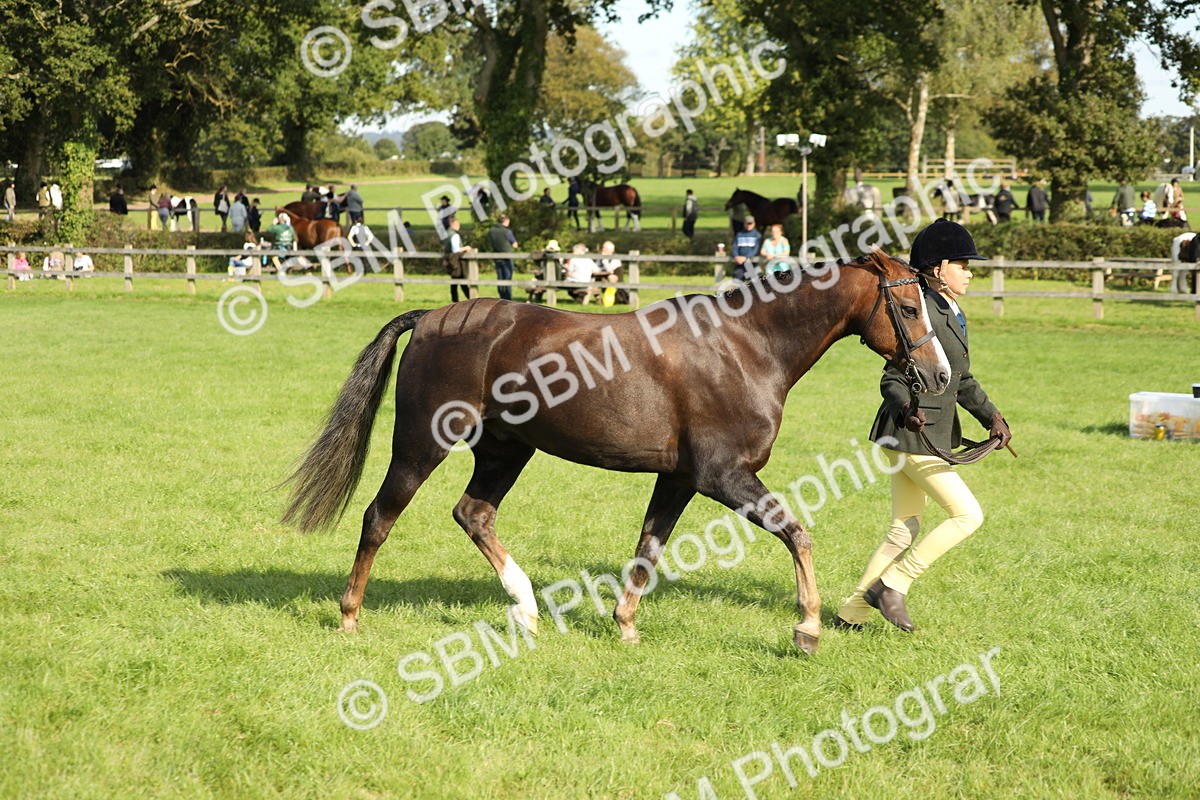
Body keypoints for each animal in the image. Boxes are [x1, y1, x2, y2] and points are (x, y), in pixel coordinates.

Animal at [282, 249, 952, 655]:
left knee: (473, 514)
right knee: (380, 516)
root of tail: (432, 316)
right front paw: (808, 628)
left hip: (506, 451)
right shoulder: (724, 476)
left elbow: (648, 549)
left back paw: (526, 608)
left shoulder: (679, 479)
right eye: (910, 306)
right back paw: (350, 614)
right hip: (423, 443)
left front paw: (625, 625)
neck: (746, 346)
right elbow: (798, 533)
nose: (940, 376)